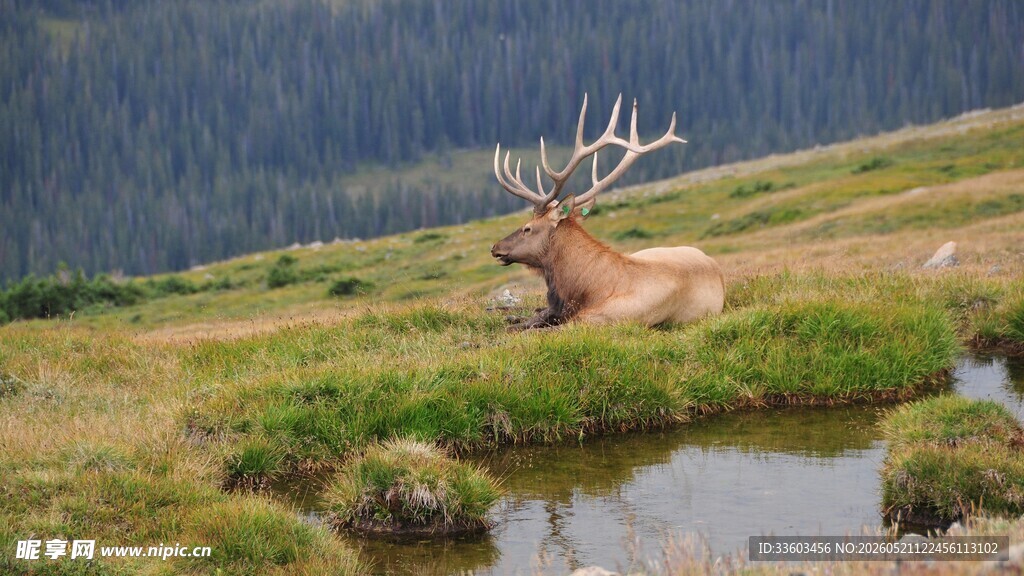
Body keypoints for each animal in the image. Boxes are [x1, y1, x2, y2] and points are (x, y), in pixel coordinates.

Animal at [490, 94, 725, 330]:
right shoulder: (556, 310)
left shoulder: (593, 321)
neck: (585, 289)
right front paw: (510, 316)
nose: (495, 247)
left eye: (527, 228)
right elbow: (524, 321)